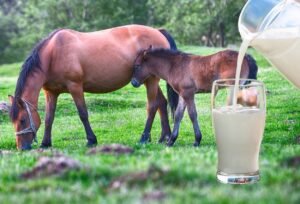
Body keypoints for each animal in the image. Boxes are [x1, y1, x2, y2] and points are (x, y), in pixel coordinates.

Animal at [9, 25, 178, 150]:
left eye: (23, 120)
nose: (22, 148)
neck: (53, 54)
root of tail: (158, 31)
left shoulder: (75, 87)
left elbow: (83, 114)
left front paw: (91, 140)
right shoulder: (51, 92)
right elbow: (49, 118)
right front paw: (45, 143)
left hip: (151, 80)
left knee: (152, 106)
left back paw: (144, 138)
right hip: (148, 80)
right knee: (162, 103)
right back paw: (164, 137)